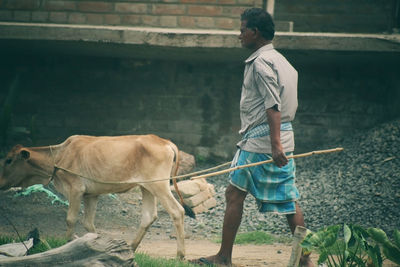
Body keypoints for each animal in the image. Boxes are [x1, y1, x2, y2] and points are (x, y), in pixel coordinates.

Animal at [0, 135, 194, 258]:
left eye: (9, 160)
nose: (0, 183)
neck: (59, 157)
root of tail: (164, 141)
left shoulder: (76, 190)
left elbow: (70, 219)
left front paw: (69, 243)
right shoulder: (90, 195)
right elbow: (88, 223)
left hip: (160, 186)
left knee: (177, 211)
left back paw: (180, 254)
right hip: (147, 187)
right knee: (148, 217)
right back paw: (131, 248)